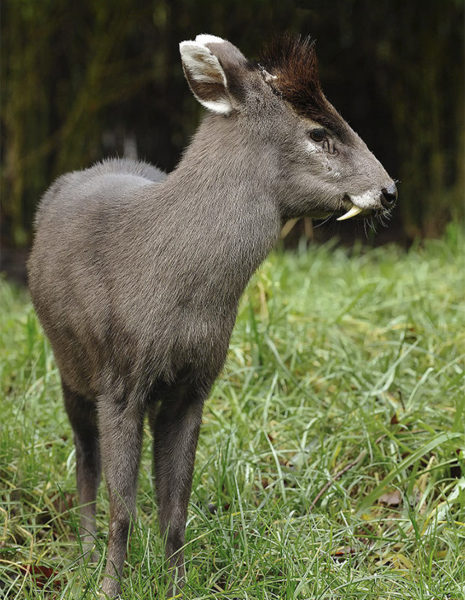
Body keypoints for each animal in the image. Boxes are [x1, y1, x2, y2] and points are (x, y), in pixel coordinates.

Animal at [27, 34, 396, 596]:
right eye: (318, 132)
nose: (389, 189)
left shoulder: (194, 386)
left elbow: (175, 509)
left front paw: (178, 586)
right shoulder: (119, 380)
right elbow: (122, 508)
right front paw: (110, 586)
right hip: (70, 363)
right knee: (84, 455)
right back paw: (84, 555)